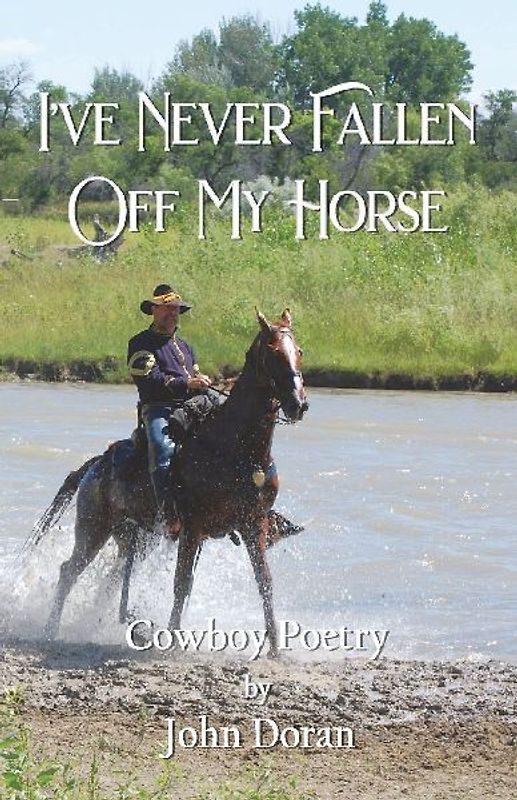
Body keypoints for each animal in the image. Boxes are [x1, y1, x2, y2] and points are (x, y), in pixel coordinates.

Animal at [34, 308, 308, 655]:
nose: (298, 405)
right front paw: (174, 642)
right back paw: (50, 630)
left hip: (138, 539)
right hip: (93, 529)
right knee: (68, 572)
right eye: (272, 352)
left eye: (299, 351)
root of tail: (96, 464)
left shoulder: (252, 524)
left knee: (110, 581)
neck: (235, 450)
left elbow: (265, 583)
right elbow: (181, 584)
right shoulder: (193, 527)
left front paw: (274, 649)